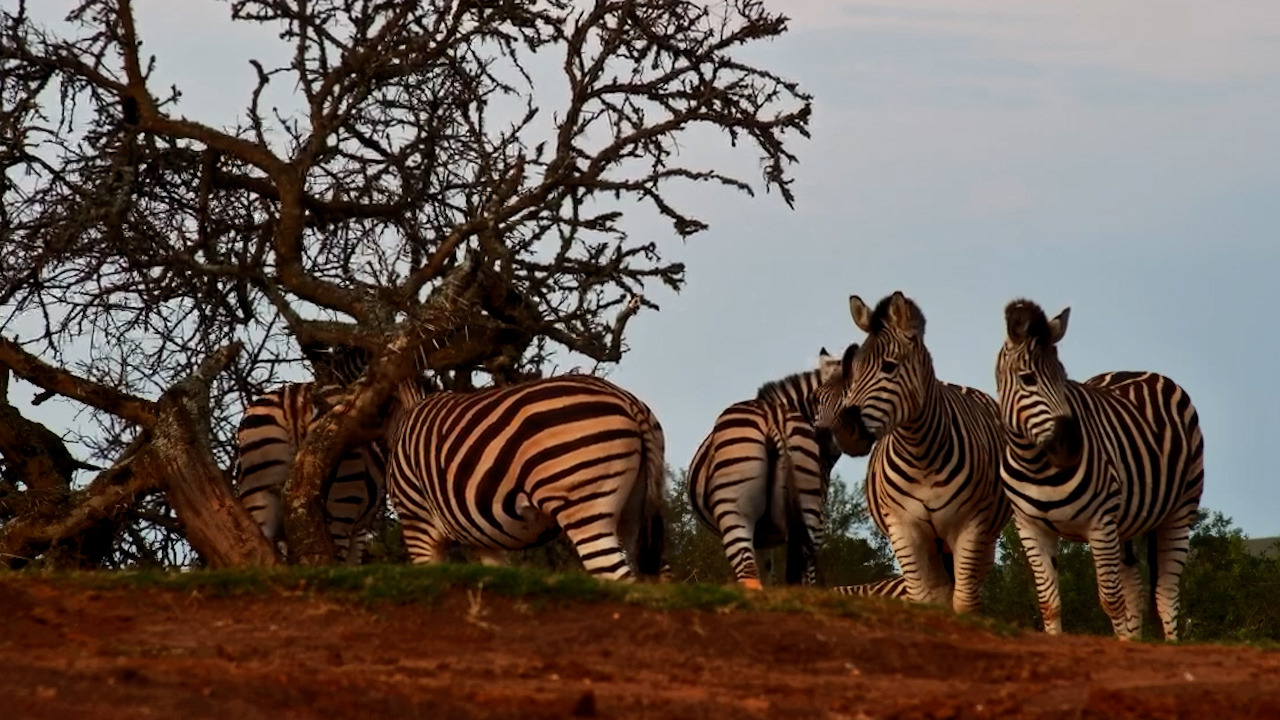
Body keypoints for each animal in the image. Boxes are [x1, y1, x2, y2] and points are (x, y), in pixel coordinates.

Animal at [384, 372, 669, 582]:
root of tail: (628, 401)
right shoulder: (483, 538)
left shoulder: (417, 522)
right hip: (636, 512)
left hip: (585, 507)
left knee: (617, 577)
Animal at [688, 344, 874, 590]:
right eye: (817, 398)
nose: (822, 439)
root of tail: (774, 420)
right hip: (805, 511)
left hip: (735, 512)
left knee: (750, 576)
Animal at [823, 291, 1011, 614]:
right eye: (854, 373)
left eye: (889, 366)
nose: (845, 431)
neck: (920, 454)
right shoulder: (904, 528)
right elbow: (926, 598)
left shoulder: (971, 526)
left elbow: (963, 601)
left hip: (984, 538)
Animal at [996, 299, 1204, 640]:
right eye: (1027, 378)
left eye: (1063, 376)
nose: (1071, 446)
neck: (1036, 464)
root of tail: (1137, 370)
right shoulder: (1030, 528)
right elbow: (1049, 602)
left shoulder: (1100, 523)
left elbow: (1111, 601)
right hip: (1127, 523)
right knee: (1136, 587)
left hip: (1180, 508)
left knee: (1165, 593)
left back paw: (1171, 644)